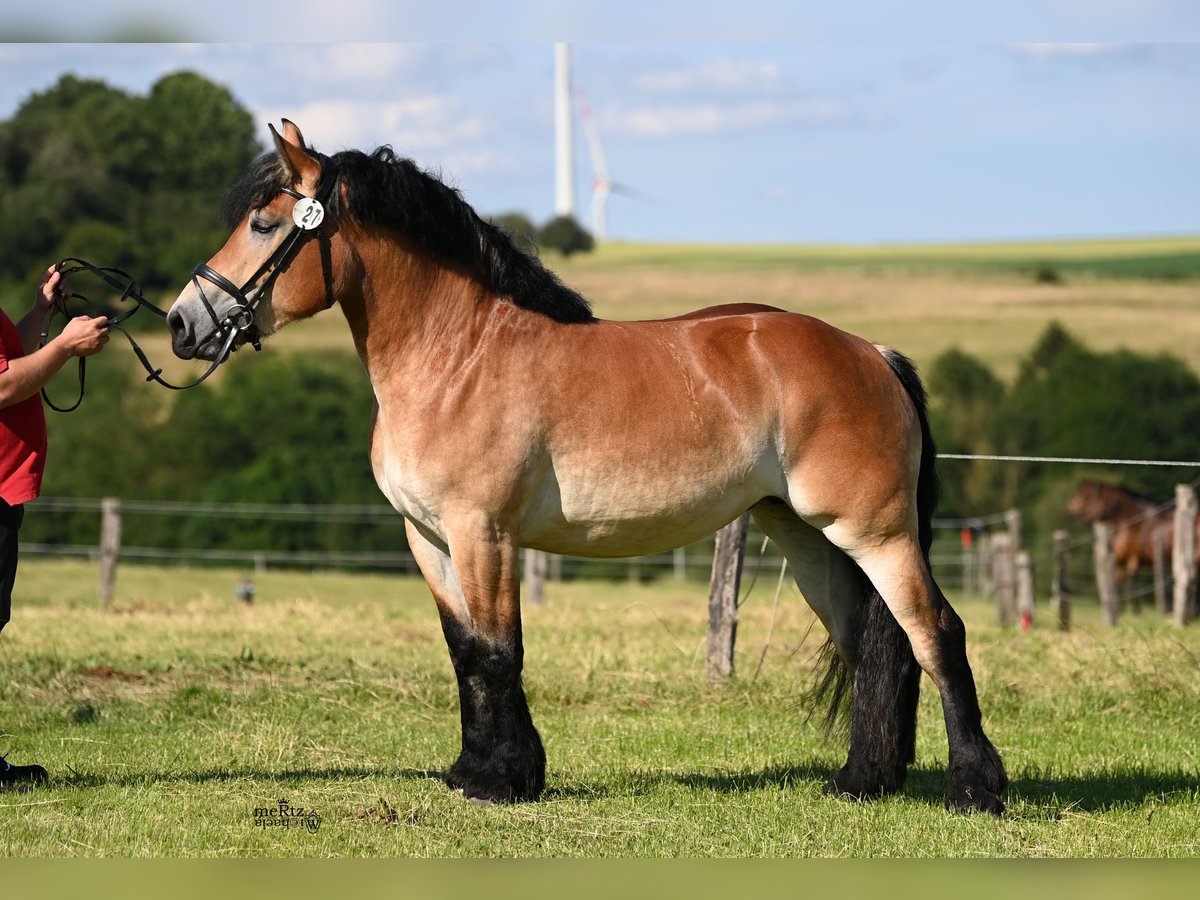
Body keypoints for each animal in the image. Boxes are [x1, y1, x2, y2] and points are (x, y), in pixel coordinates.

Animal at [164, 121, 1008, 816]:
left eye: (265, 223)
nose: (181, 322)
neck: (455, 357)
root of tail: (871, 353)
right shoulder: (428, 539)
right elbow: (464, 653)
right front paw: (474, 771)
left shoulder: (485, 535)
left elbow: (499, 651)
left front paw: (505, 780)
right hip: (810, 540)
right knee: (873, 643)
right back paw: (864, 781)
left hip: (875, 531)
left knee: (935, 633)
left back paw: (975, 789)